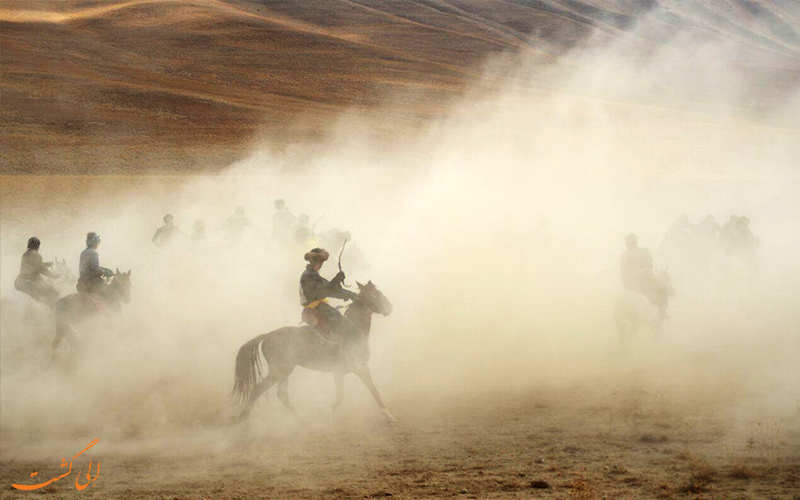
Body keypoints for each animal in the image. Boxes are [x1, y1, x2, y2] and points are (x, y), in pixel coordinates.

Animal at [230, 282, 396, 422]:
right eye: (375, 294)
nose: (389, 307)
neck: (354, 329)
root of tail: (267, 335)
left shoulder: (340, 373)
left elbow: (343, 396)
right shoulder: (359, 368)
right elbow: (372, 390)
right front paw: (388, 415)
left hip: (284, 373)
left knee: (282, 395)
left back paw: (299, 418)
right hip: (279, 371)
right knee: (258, 390)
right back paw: (244, 420)